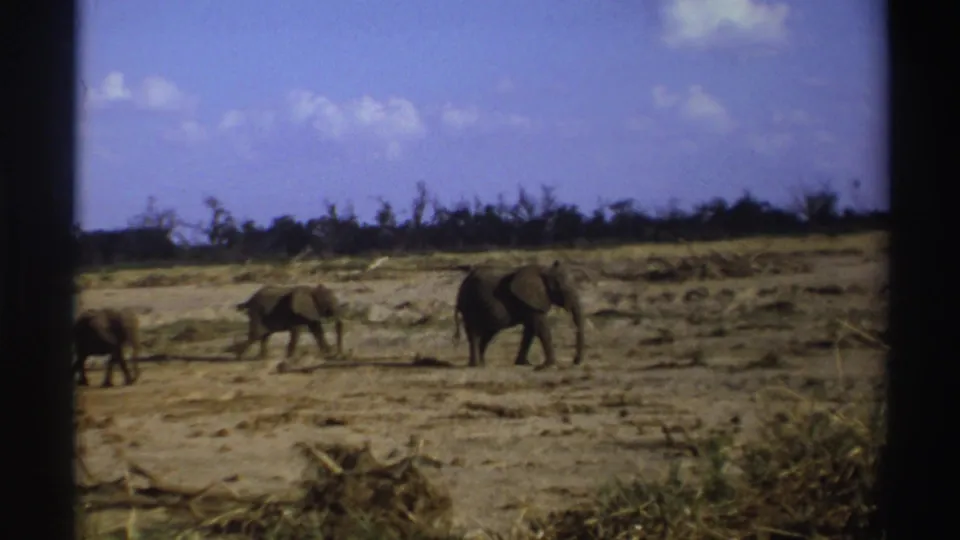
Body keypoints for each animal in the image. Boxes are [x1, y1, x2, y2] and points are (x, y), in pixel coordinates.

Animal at [453, 260, 585, 368]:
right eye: (565, 290)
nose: (575, 361)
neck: (545, 271)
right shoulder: (531, 301)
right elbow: (541, 328)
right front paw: (548, 365)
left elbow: (530, 330)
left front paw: (524, 364)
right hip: (470, 305)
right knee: (474, 333)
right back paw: (475, 365)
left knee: (487, 334)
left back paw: (482, 364)